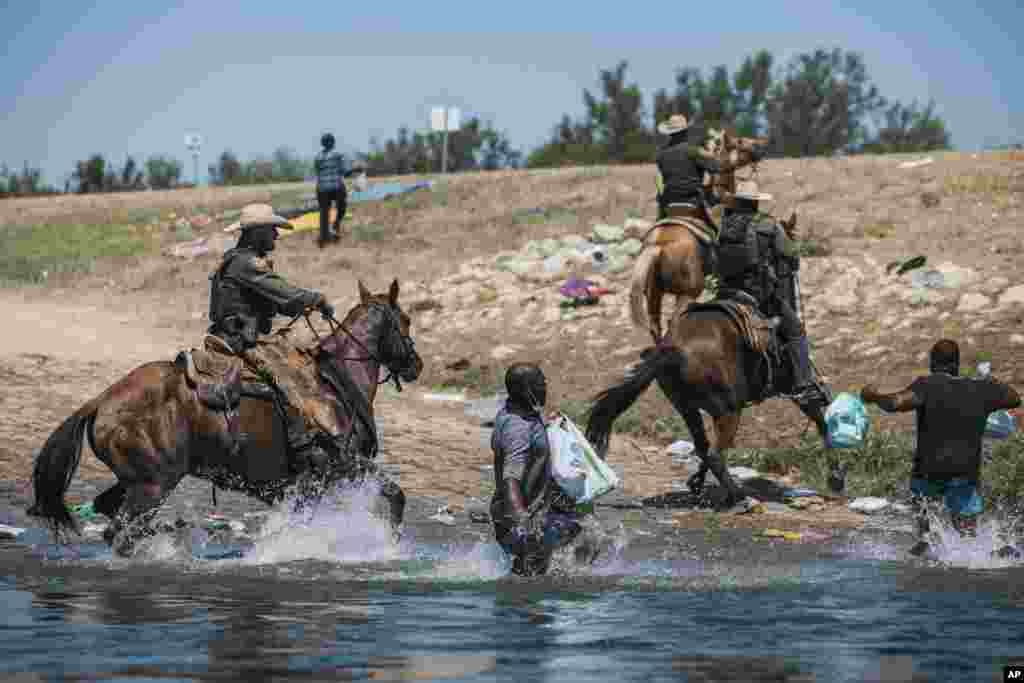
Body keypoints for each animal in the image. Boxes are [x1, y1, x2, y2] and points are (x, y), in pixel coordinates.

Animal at [28, 278, 421, 557]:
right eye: (405, 320)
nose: (416, 365)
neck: (337, 380)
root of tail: (101, 401)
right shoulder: (342, 466)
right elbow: (396, 496)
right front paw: (390, 546)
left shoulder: (307, 485)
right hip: (152, 485)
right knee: (121, 532)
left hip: (135, 481)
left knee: (111, 516)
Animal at [589, 301, 835, 509]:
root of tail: (674, 350)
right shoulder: (794, 388)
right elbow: (821, 422)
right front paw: (836, 478)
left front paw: (696, 482)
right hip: (729, 411)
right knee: (715, 454)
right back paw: (739, 498)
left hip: (686, 408)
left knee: (703, 447)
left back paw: (707, 487)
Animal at [626, 126, 770, 342]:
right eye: (740, 141)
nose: (762, 145)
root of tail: (657, 246)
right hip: (687, 293)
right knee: (673, 324)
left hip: (653, 294)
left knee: (656, 328)